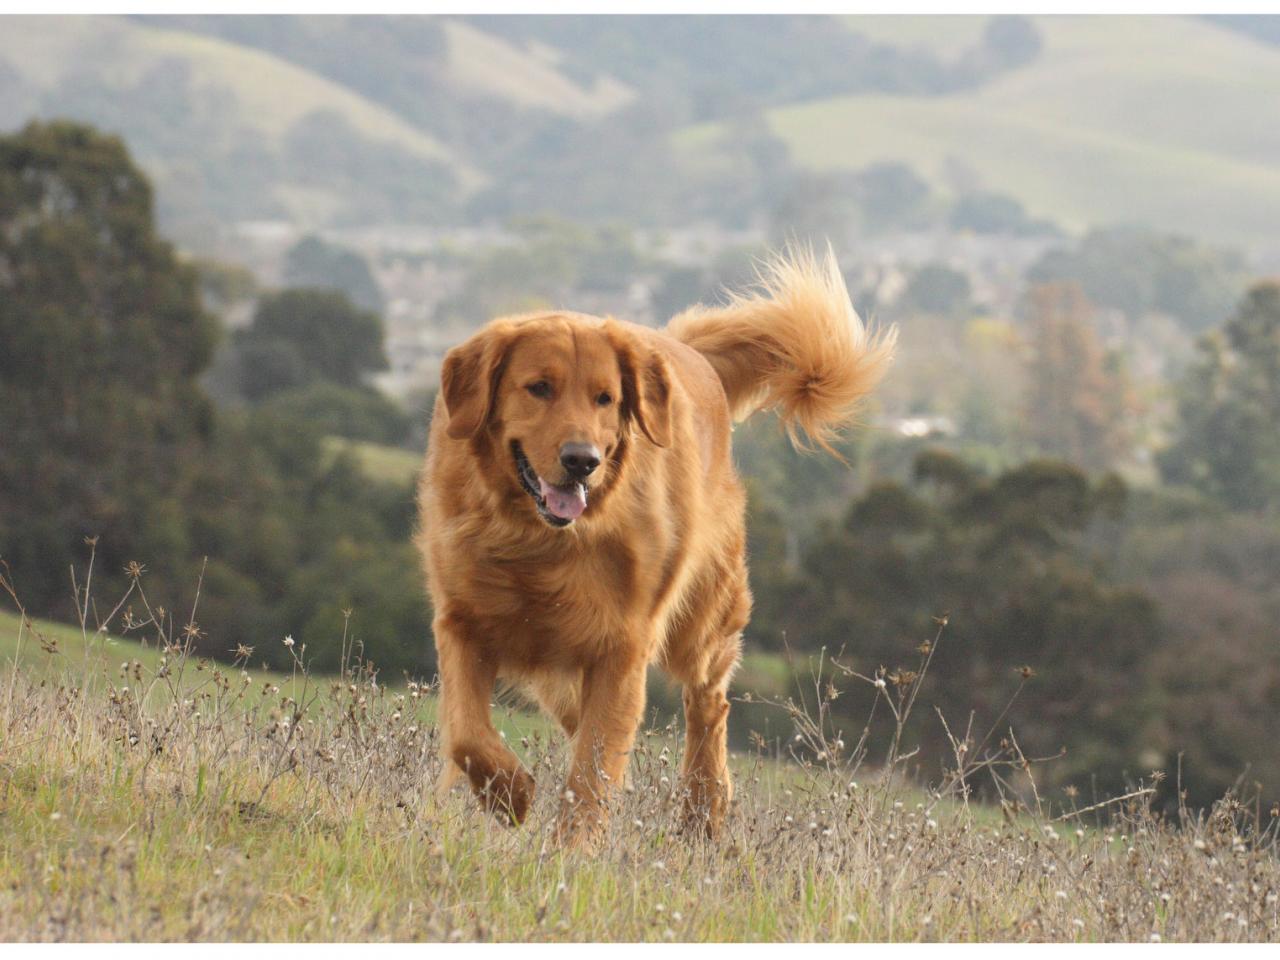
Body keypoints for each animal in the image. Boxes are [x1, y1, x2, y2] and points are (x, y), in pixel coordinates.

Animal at [414, 249, 896, 849]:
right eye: (539, 387)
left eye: (605, 398)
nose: (583, 461)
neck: (538, 541)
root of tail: (691, 352)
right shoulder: (462, 622)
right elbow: (467, 733)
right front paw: (510, 793)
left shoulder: (621, 645)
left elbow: (592, 769)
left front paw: (571, 851)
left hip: (701, 621)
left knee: (708, 702)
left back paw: (704, 810)